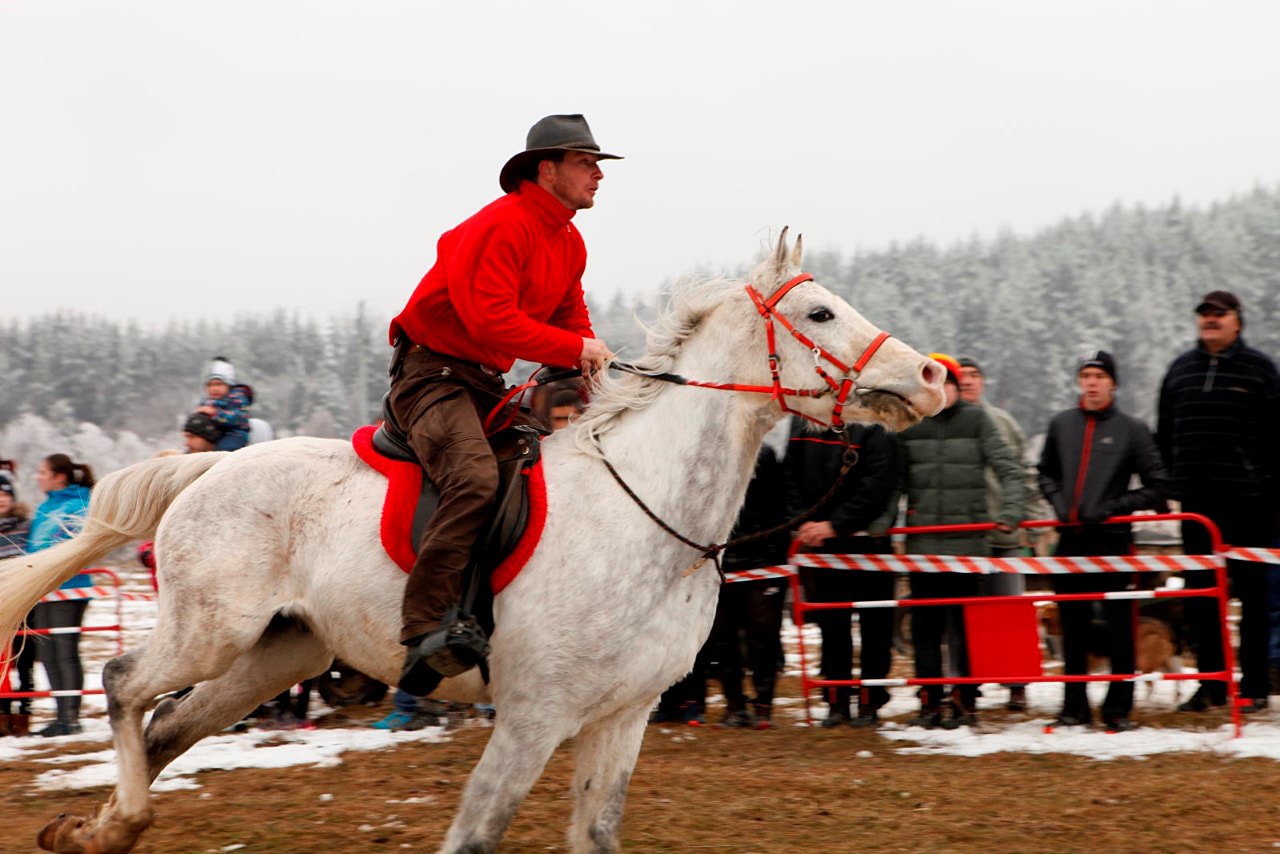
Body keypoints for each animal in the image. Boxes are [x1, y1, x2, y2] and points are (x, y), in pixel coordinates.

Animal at [0, 229, 942, 854]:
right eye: (820, 310)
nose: (933, 375)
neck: (650, 516)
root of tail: (209, 468)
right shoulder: (533, 717)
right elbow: (475, 835)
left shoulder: (623, 717)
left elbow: (594, 837)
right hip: (212, 633)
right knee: (123, 686)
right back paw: (115, 821)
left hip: (277, 654)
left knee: (165, 728)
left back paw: (94, 831)